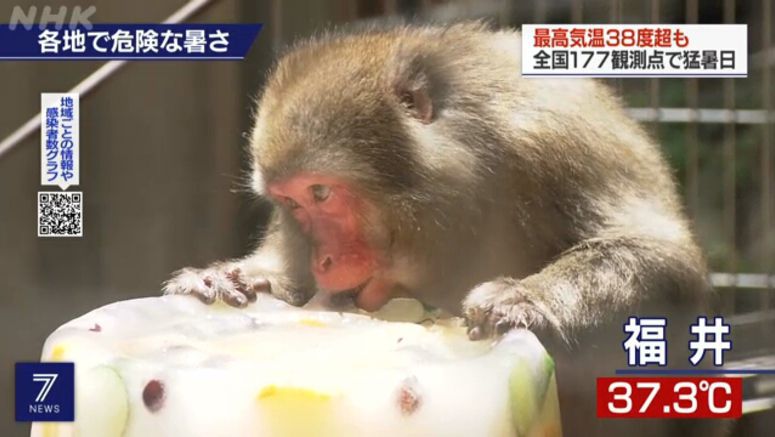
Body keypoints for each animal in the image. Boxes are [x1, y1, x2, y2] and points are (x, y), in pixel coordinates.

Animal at [161, 23, 720, 436]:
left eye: (321, 193)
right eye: (291, 204)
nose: (323, 260)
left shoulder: (557, 140)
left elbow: (666, 263)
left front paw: (526, 297)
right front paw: (232, 277)